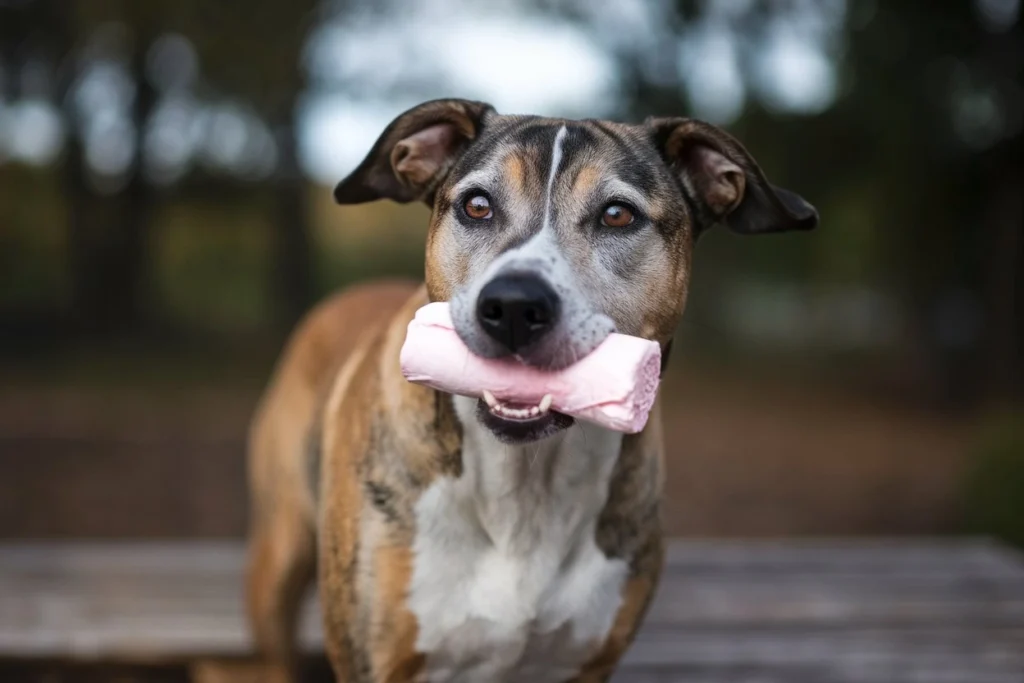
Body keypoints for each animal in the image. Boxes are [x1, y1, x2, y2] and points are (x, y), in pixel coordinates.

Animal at [245, 97, 815, 683]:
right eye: (477, 206)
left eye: (618, 214)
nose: (514, 306)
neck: (527, 482)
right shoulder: (373, 663)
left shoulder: (588, 665)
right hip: (280, 556)